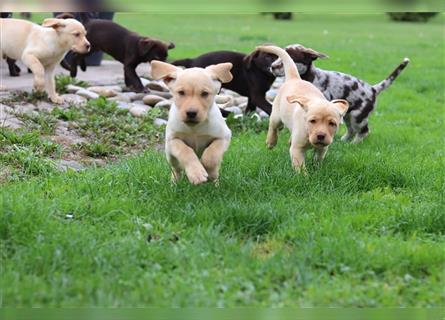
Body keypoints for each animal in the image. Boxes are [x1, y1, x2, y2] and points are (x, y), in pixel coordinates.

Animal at [268, 43, 408, 142]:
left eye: (290, 58)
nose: (272, 67)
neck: (309, 78)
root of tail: (373, 89)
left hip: (358, 116)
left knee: (364, 131)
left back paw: (353, 144)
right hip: (347, 115)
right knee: (351, 130)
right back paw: (344, 141)